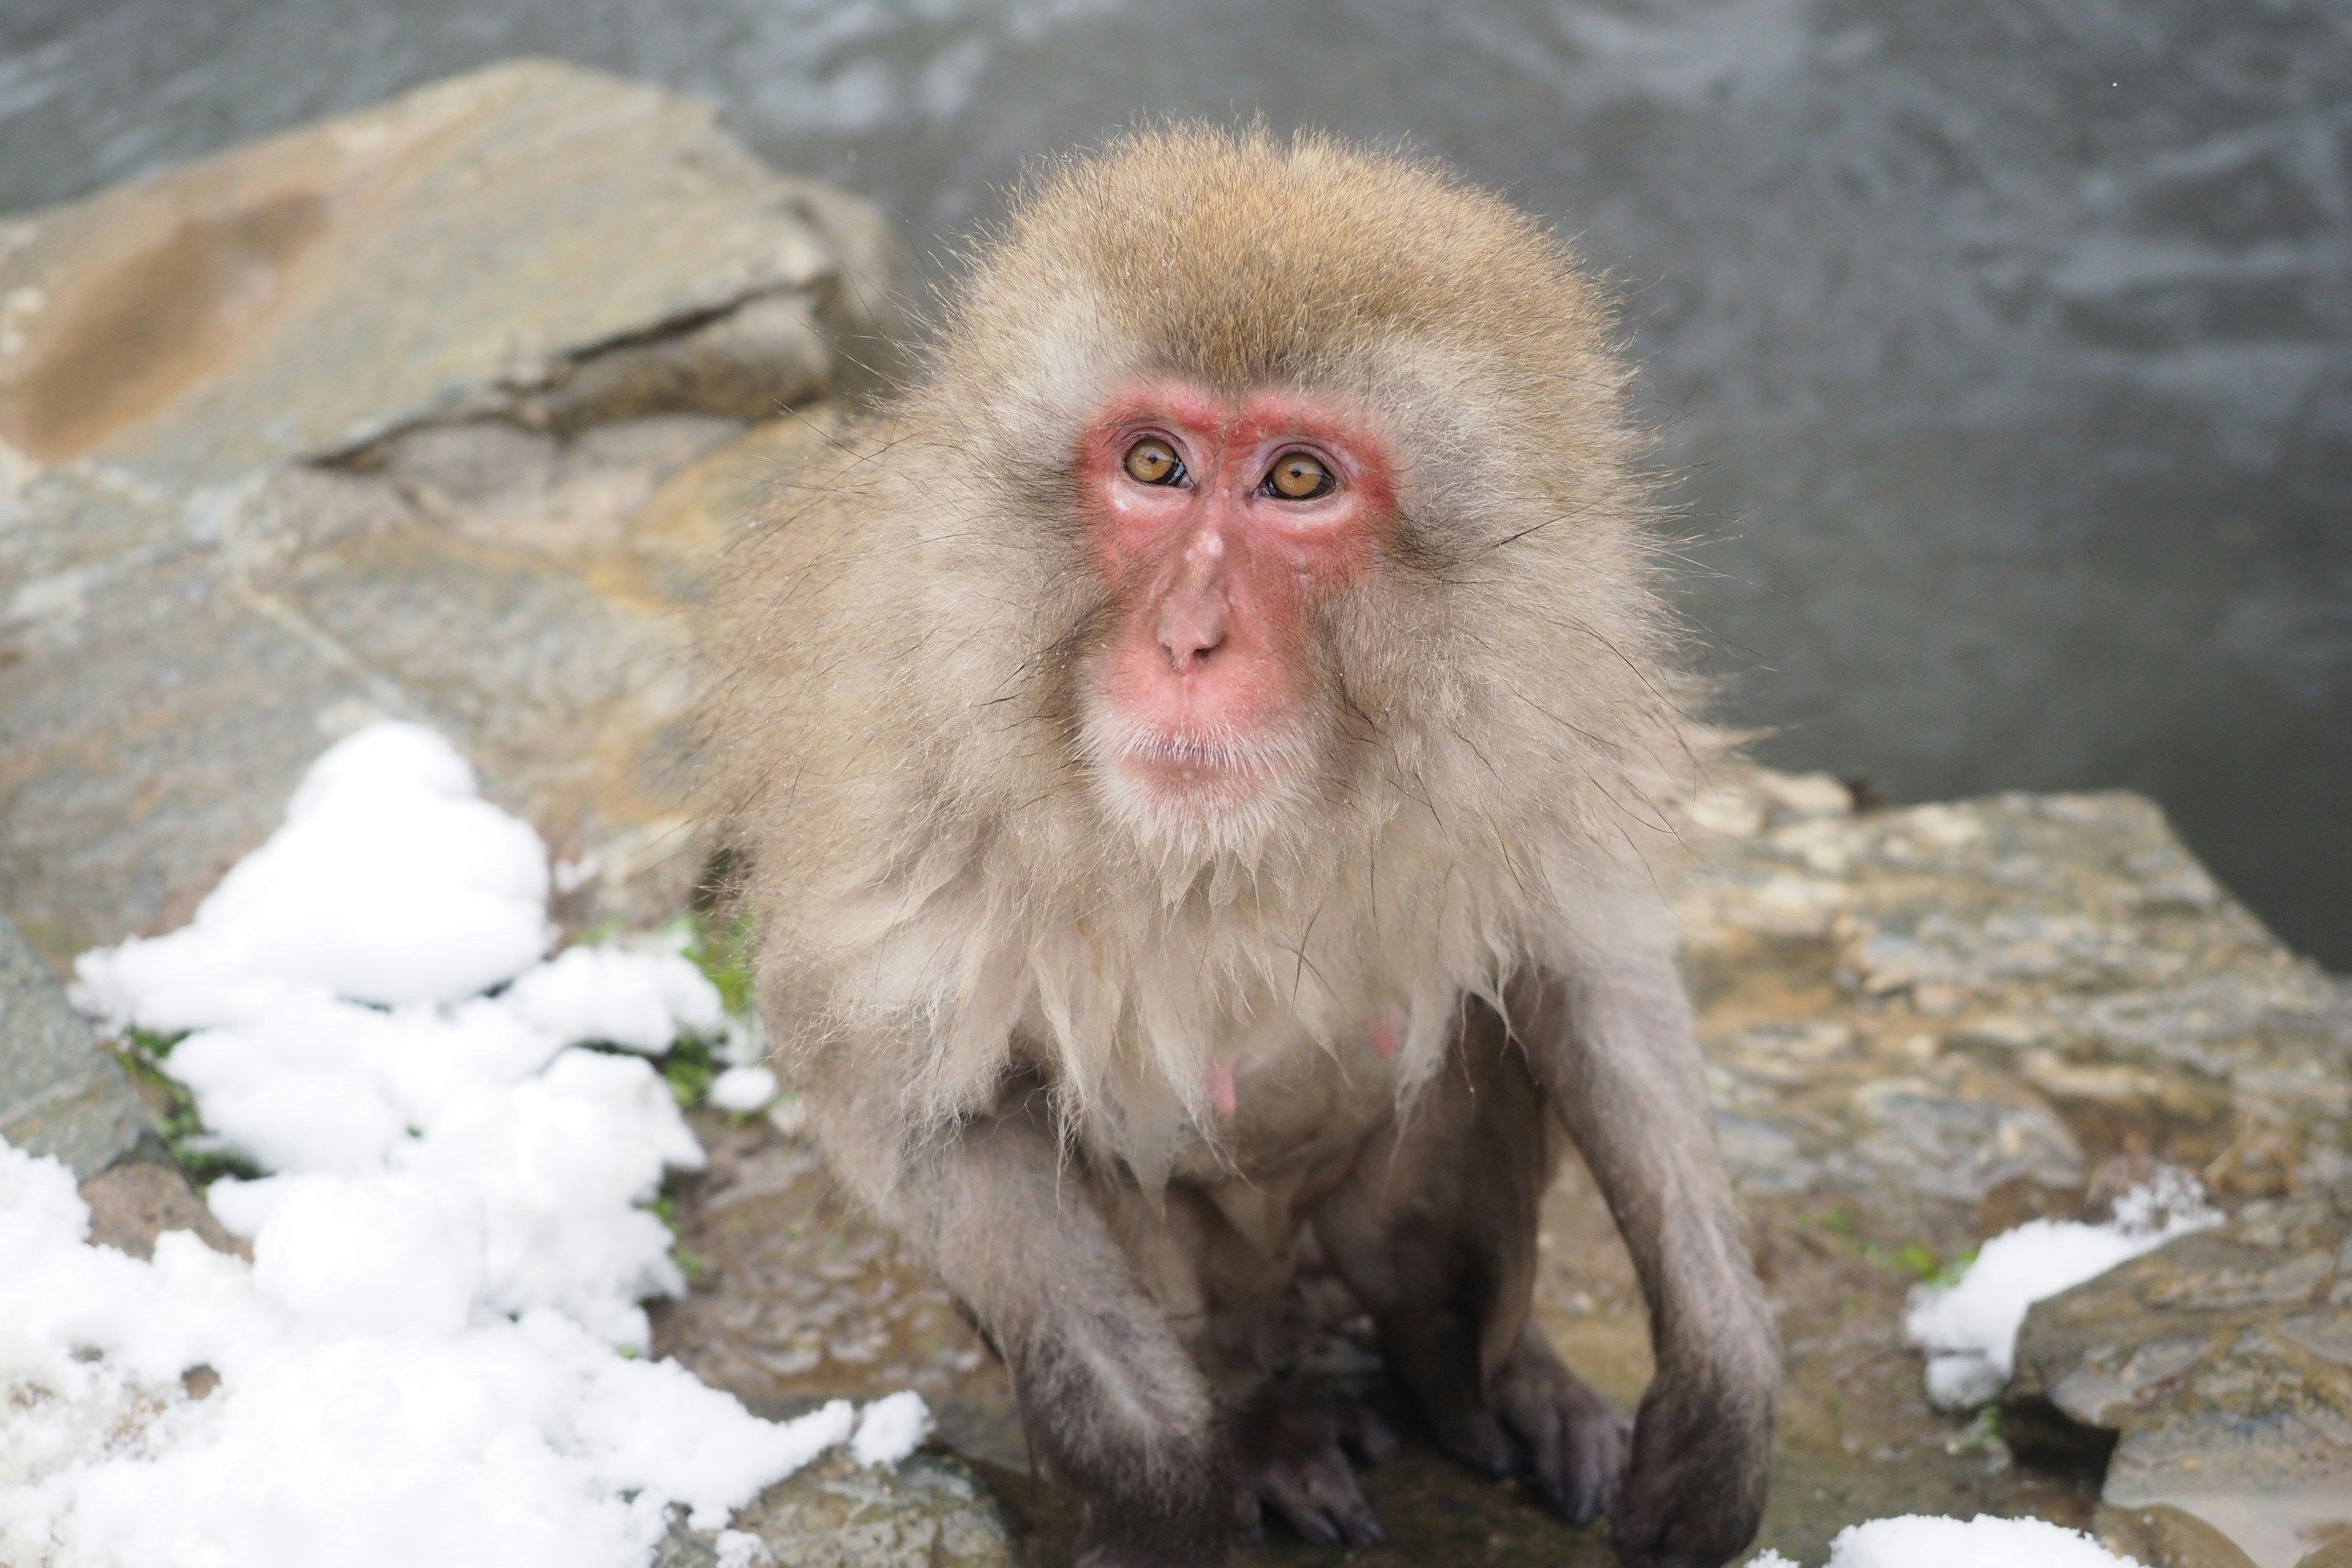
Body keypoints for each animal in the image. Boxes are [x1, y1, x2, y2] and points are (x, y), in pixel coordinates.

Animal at [702, 127, 1777, 1568]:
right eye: (1154, 465)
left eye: (1298, 480)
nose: (1187, 638)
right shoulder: (898, 764)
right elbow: (916, 1110)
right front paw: (1161, 1493)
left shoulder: (1551, 706)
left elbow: (1591, 966)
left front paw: (1724, 1392)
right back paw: (1270, 1429)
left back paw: (1482, 1376)